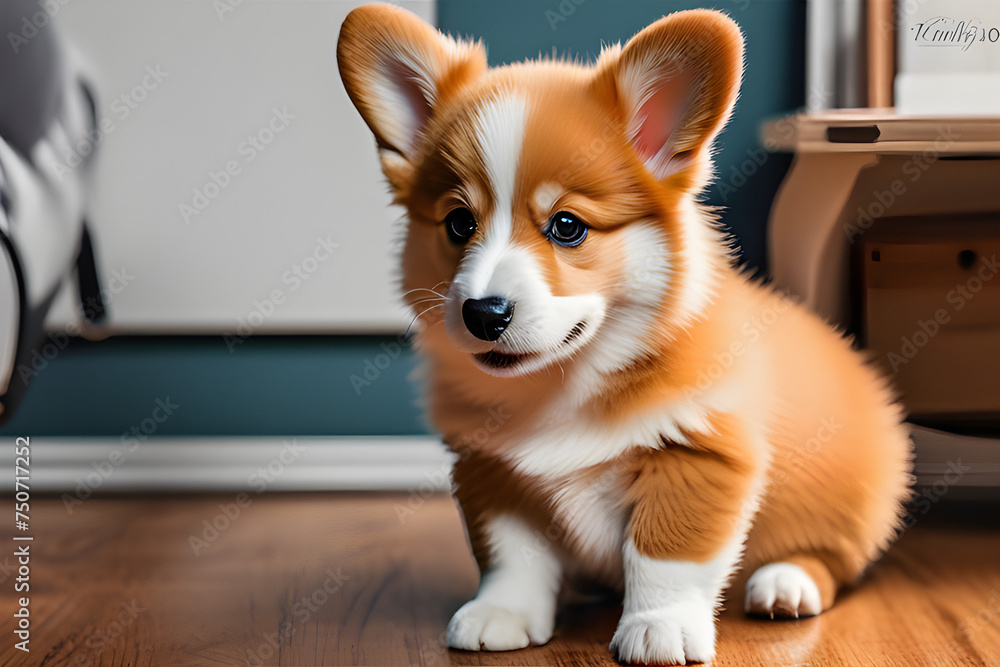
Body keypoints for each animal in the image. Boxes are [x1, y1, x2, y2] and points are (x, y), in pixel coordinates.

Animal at [338, 3, 916, 664]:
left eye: (567, 227)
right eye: (459, 223)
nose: (483, 313)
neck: (564, 383)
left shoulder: (699, 452)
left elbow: (665, 554)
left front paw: (658, 628)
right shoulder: (492, 473)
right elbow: (513, 556)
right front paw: (503, 613)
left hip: (850, 497)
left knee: (833, 560)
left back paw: (785, 584)